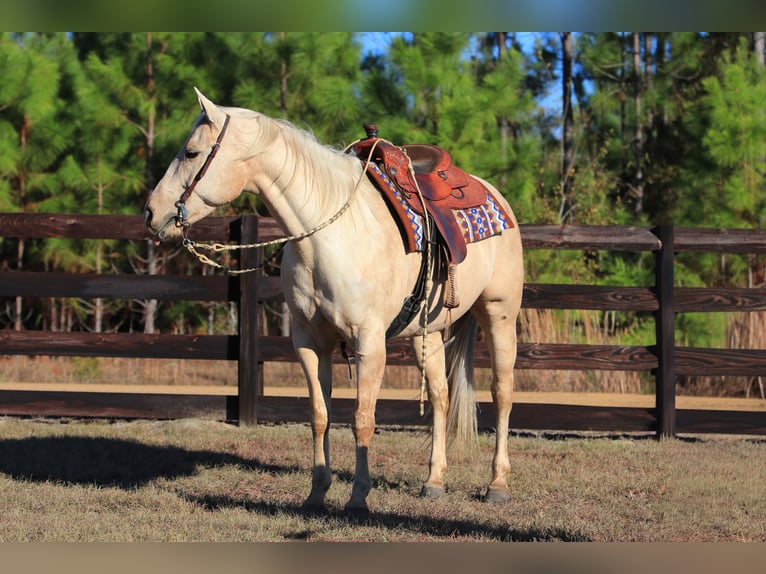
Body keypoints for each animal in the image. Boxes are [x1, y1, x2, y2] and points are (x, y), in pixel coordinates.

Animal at [144, 88, 524, 512]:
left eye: (192, 153)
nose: (151, 213)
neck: (326, 234)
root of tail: (495, 196)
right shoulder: (310, 342)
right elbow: (320, 415)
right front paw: (317, 492)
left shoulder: (369, 343)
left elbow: (362, 419)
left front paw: (358, 497)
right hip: (425, 334)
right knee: (441, 397)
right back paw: (434, 481)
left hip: (499, 315)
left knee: (502, 394)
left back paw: (498, 484)